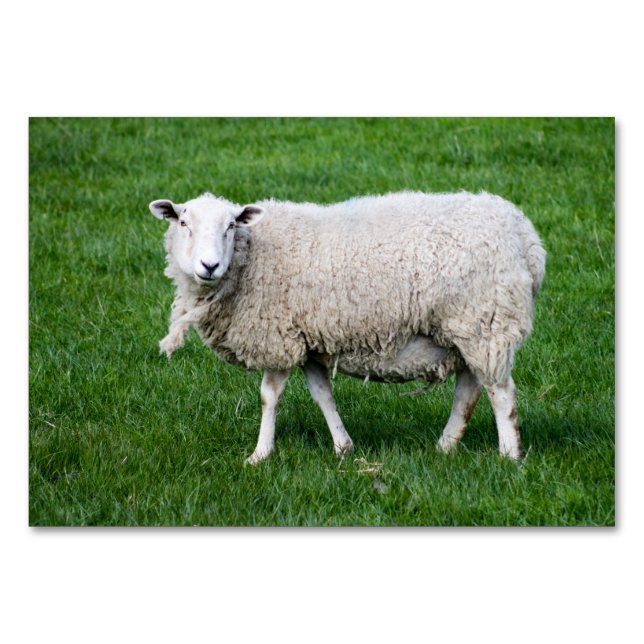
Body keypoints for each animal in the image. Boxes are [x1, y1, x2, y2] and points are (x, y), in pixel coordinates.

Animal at [148, 191, 545, 464]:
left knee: (501, 394)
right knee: (469, 391)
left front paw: (259, 455)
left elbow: (268, 397)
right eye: (183, 223)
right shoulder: (308, 342)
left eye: (231, 226)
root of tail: (526, 237)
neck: (253, 256)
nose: (209, 265)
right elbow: (322, 394)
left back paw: (509, 455)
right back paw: (445, 446)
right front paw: (343, 446)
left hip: (486, 323)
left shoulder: (278, 337)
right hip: (469, 332)